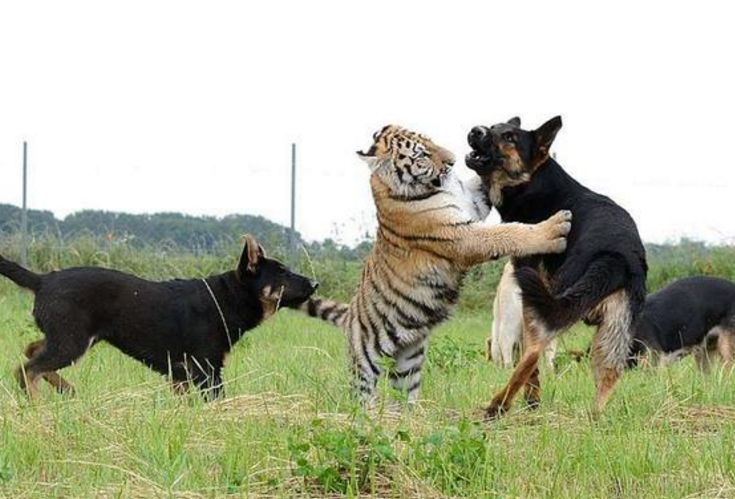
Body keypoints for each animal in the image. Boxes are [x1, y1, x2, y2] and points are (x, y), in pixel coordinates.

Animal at [301, 125, 573, 404]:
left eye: (431, 142)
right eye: (422, 154)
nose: (452, 161)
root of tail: (349, 315)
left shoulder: (472, 201)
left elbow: (484, 185)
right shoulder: (461, 237)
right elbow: (507, 233)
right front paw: (554, 229)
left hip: (409, 359)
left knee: (405, 392)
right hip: (365, 362)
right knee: (361, 393)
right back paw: (367, 413)